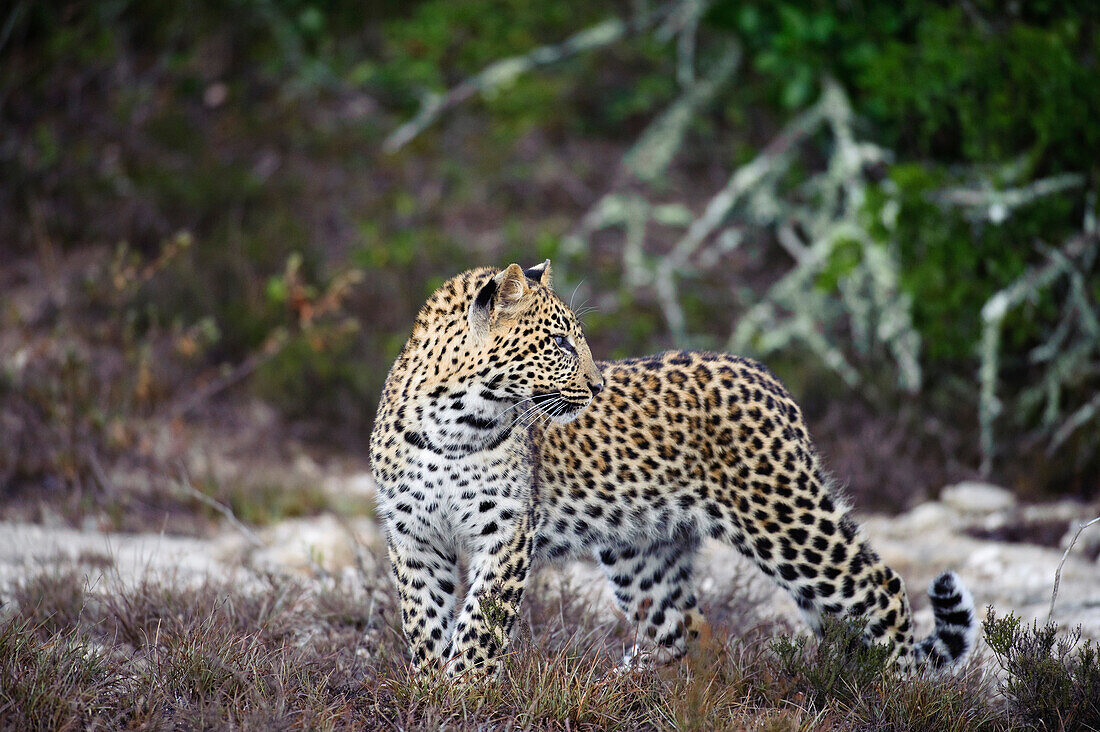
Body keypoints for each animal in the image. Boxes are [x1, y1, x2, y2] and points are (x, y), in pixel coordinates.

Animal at [371, 259, 981, 678]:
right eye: (560, 342)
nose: (596, 386)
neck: (455, 425)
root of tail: (765, 375)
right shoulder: (413, 536)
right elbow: (425, 623)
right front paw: (431, 692)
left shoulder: (505, 534)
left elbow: (480, 626)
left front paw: (465, 693)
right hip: (645, 558)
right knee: (693, 633)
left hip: (787, 519)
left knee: (882, 589)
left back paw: (892, 692)